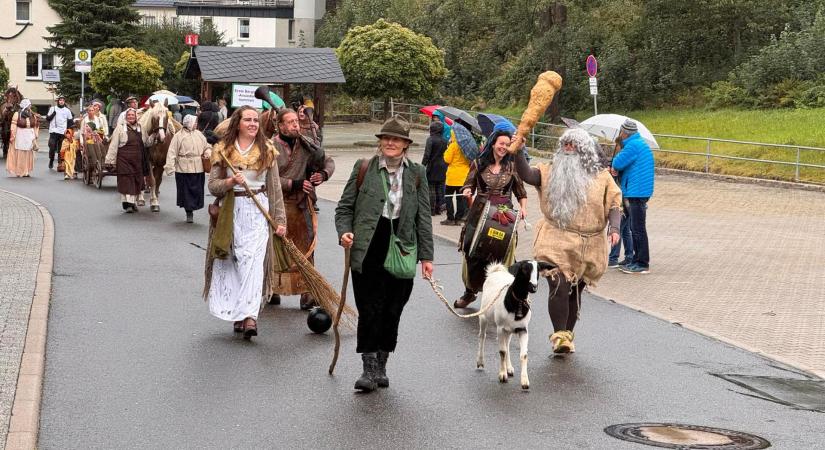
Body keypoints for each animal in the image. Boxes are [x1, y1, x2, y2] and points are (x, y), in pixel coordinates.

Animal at [474, 260, 552, 390]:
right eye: (524, 269)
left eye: (539, 269)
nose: (534, 287)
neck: (516, 302)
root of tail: (496, 270)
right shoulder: (500, 328)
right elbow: (502, 352)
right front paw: (502, 375)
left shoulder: (523, 329)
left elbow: (523, 354)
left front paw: (524, 381)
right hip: (484, 316)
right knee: (482, 336)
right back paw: (480, 362)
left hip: (509, 330)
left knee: (507, 344)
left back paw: (509, 368)